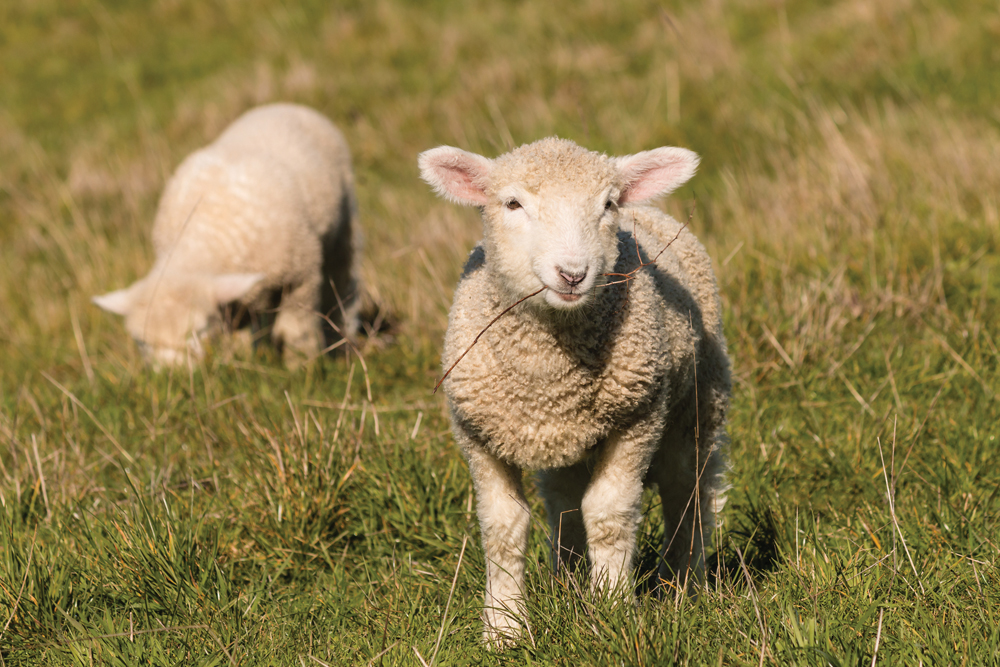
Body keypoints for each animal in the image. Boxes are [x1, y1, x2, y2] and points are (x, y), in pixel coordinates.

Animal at [93, 103, 361, 367]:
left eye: (198, 331)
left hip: (344, 228)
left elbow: (297, 332)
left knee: (343, 284)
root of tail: (285, 105)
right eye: (141, 342)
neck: (199, 241)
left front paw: (303, 366)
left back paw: (343, 337)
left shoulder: (300, 277)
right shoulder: (239, 297)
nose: (172, 374)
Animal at [419, 137, 731, 645]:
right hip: (566, 444)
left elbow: (607, 514)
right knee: (563, 502)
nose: (572, 273)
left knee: (688, 491)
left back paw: (684, 583)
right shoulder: (476, 432)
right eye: (512, 204)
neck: (547, 374)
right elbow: (503, 526)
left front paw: (610, 608)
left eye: (607, 205)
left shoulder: (638, 417)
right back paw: (564, 578)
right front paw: (504, 627)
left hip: (697, 404)